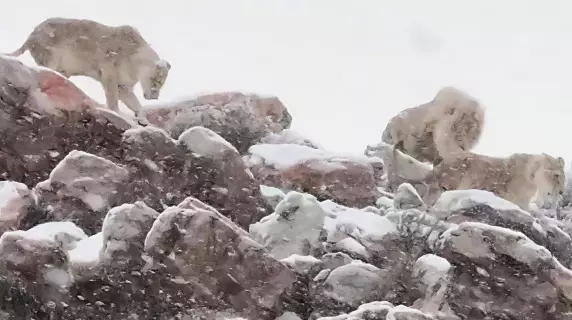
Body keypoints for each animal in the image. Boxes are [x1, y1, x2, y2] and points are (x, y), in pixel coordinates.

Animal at [6, 16, 171, 119]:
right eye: (157, 81)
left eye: (162, 84)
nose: (154, 96)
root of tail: (31, 35)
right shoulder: (109, 70)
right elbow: (112, 97)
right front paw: (117, 113)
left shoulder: (123, 84)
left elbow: (133, 101)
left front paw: (143, 119)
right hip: (50, 55)